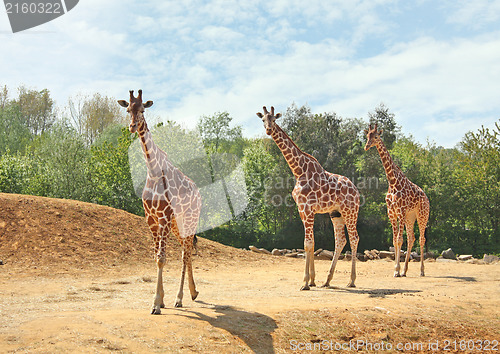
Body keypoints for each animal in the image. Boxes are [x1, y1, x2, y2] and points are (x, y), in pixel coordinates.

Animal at [118, 90, 201, 314]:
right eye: (128, 110)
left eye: (143, 109)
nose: (132, 126)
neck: (153, 171)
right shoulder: (152, 220)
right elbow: (156, 257)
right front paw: (160, 300)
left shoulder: (163, 218)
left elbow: (162, 258)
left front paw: (156, 303)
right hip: (176, 225)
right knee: (186, 252)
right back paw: (193, 292)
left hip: (190, 220)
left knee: (185, 254)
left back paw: (180, 298)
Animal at [258, 105, 360, 290]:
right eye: (263, 119)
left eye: (274, 119)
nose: (268, 130)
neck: (298, 171)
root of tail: (356, 191)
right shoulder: (303, 210)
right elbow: (311, 244)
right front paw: (312, 280)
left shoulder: (308, 208)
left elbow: (308, 243)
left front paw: (305, 282)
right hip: (336, 213)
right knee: (340, 241)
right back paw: (327, 280)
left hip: (350, 211)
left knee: (354, 238)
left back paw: (351, 280)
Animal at [364, 124, 430, 276]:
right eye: (367, 136)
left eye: (376, 136)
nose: (366, 146)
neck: (393, 182)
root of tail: (426, 197)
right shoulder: (392, 213)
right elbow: (395, 241)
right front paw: (397, 269)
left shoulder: (401, 211)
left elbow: (399, 240)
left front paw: (397, 271)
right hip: (411, 217)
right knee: (411, 238)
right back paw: (405, 270)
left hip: (422, 215)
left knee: (421, 239)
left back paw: (422, 271)